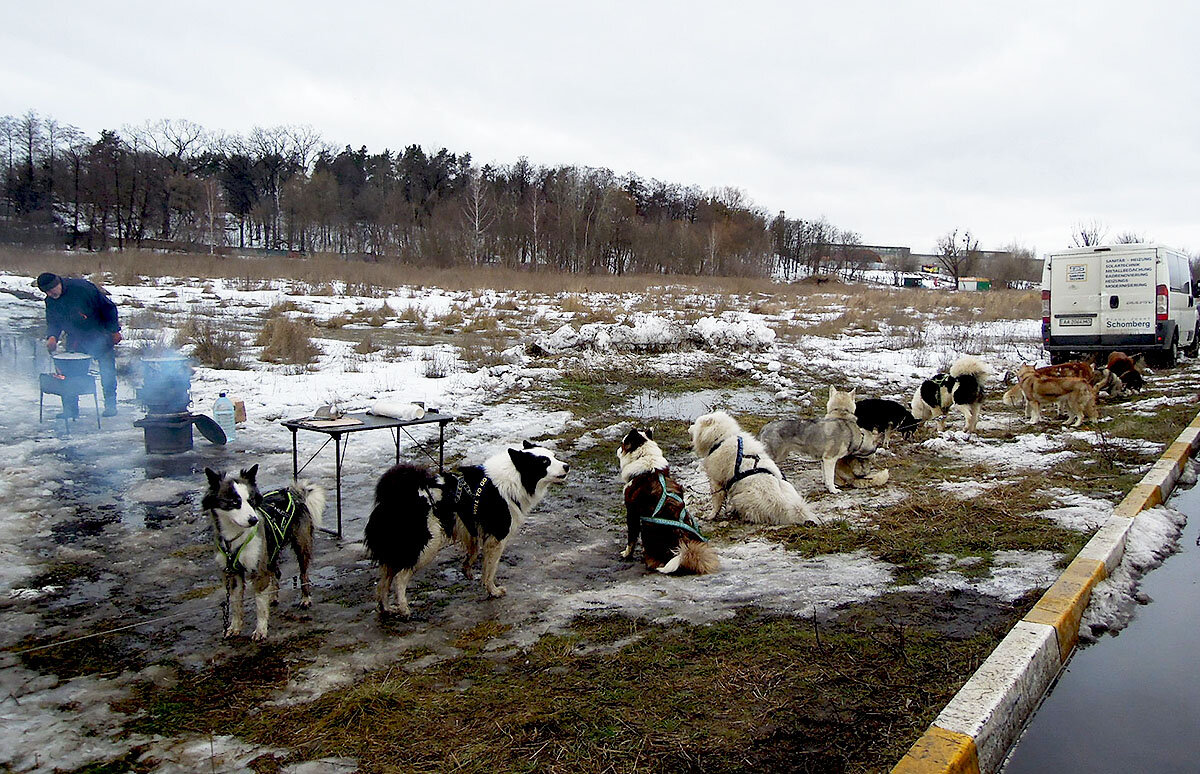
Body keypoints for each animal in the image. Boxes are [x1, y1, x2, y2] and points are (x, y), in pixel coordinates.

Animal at [614, 429, 715, 573]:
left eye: (623, 443)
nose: (617, 449)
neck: (646, 459)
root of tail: (681, 544)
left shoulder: (632, 511)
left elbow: (631, 538)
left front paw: (626, 554)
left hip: (646, 528)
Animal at [686, 410, 816, 525]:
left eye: (695, 423)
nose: (689, 427)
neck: (722, 438)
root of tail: (785, 506)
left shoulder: (716, 479)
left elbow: (716, 501)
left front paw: (711, 516)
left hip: (741, 498)